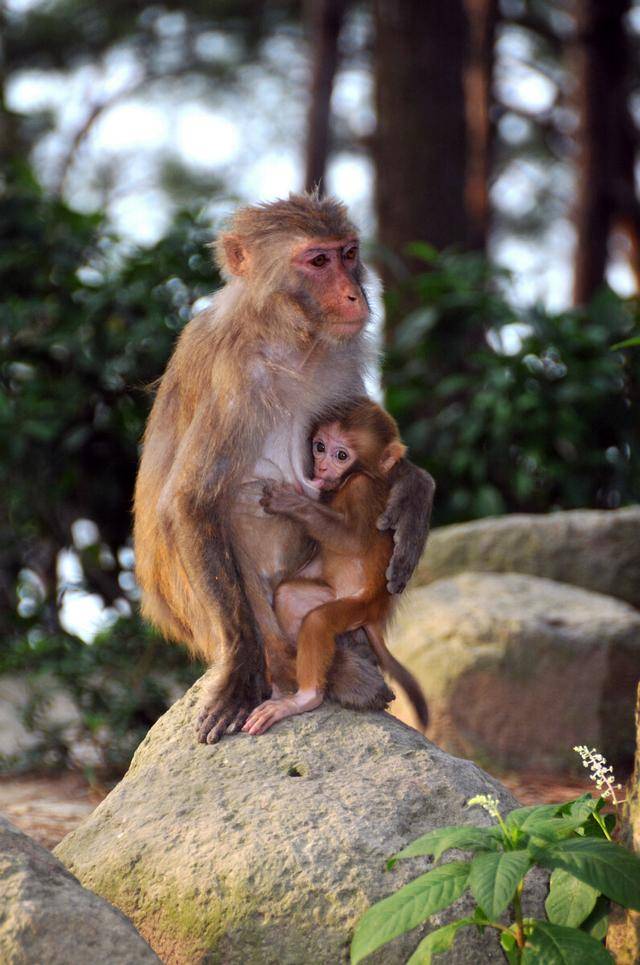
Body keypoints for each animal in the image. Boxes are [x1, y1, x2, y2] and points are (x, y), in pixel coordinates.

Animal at [242, 400, 428, 740]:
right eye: (319, 447)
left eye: (341, 455)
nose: (322, 468)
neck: (354, 476)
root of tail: (375, 611)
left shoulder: (361, 489)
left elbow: (351, 539)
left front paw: (288, 501)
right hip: (332, 597)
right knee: (288, 596)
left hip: (355, 606)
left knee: (317, 622)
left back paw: (306, 698)